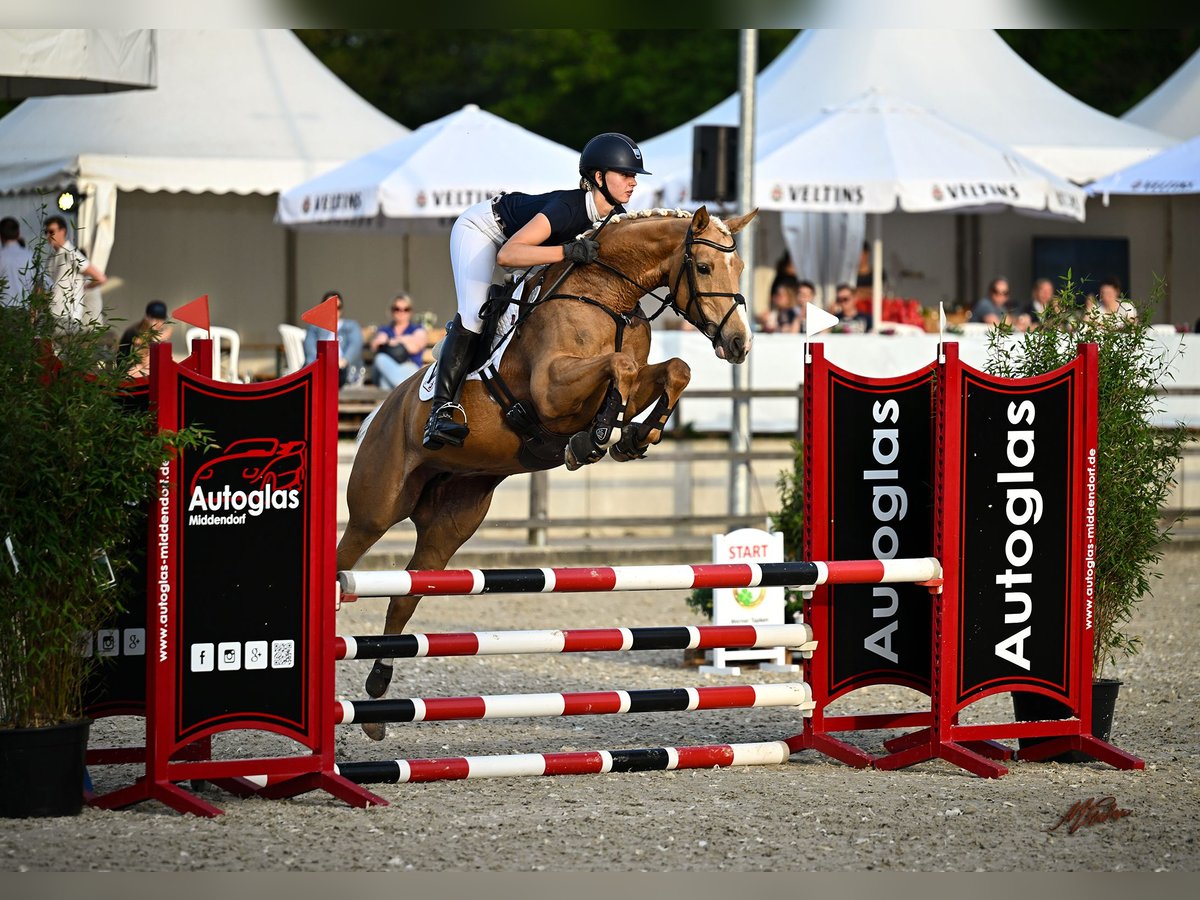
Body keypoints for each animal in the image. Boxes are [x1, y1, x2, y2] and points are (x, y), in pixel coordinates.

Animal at [333, 206, 753, 739]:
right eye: (702, 267)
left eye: (740, 269)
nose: (740, 344)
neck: (610, 295)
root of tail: (377, 412)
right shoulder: (552, 391)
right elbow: (620, 366)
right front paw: (597, 437)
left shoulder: (628, 376)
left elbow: (671, 369)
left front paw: (636, 436)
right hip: (376, 509)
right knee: (347, 559)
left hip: (452, 522)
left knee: (406, 595)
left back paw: (377, 695)